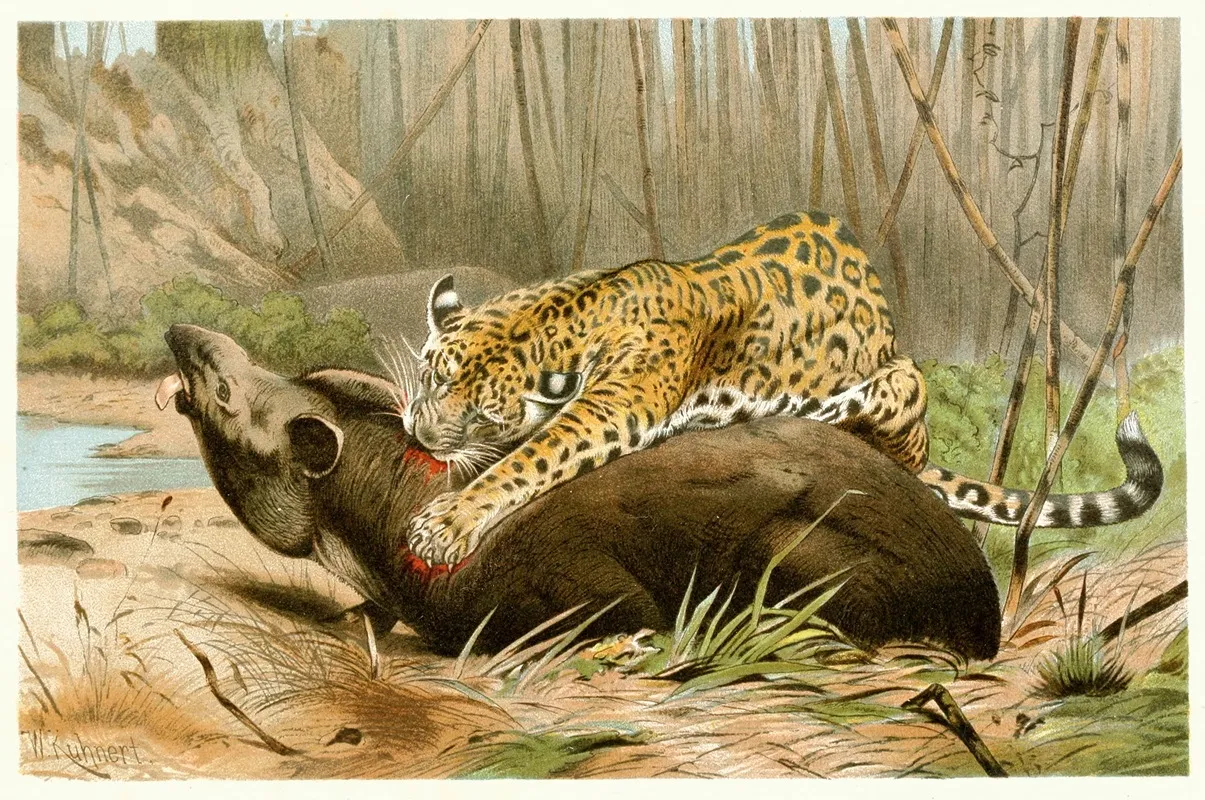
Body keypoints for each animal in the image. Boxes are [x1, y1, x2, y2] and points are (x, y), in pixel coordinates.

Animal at [400, 211, 1163, 566]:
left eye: (480, 415)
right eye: (430, 377)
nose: (419, 434)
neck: (561, 313)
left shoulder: (617, 404)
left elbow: (533, 457)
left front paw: (448, 523)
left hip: (900, 384)